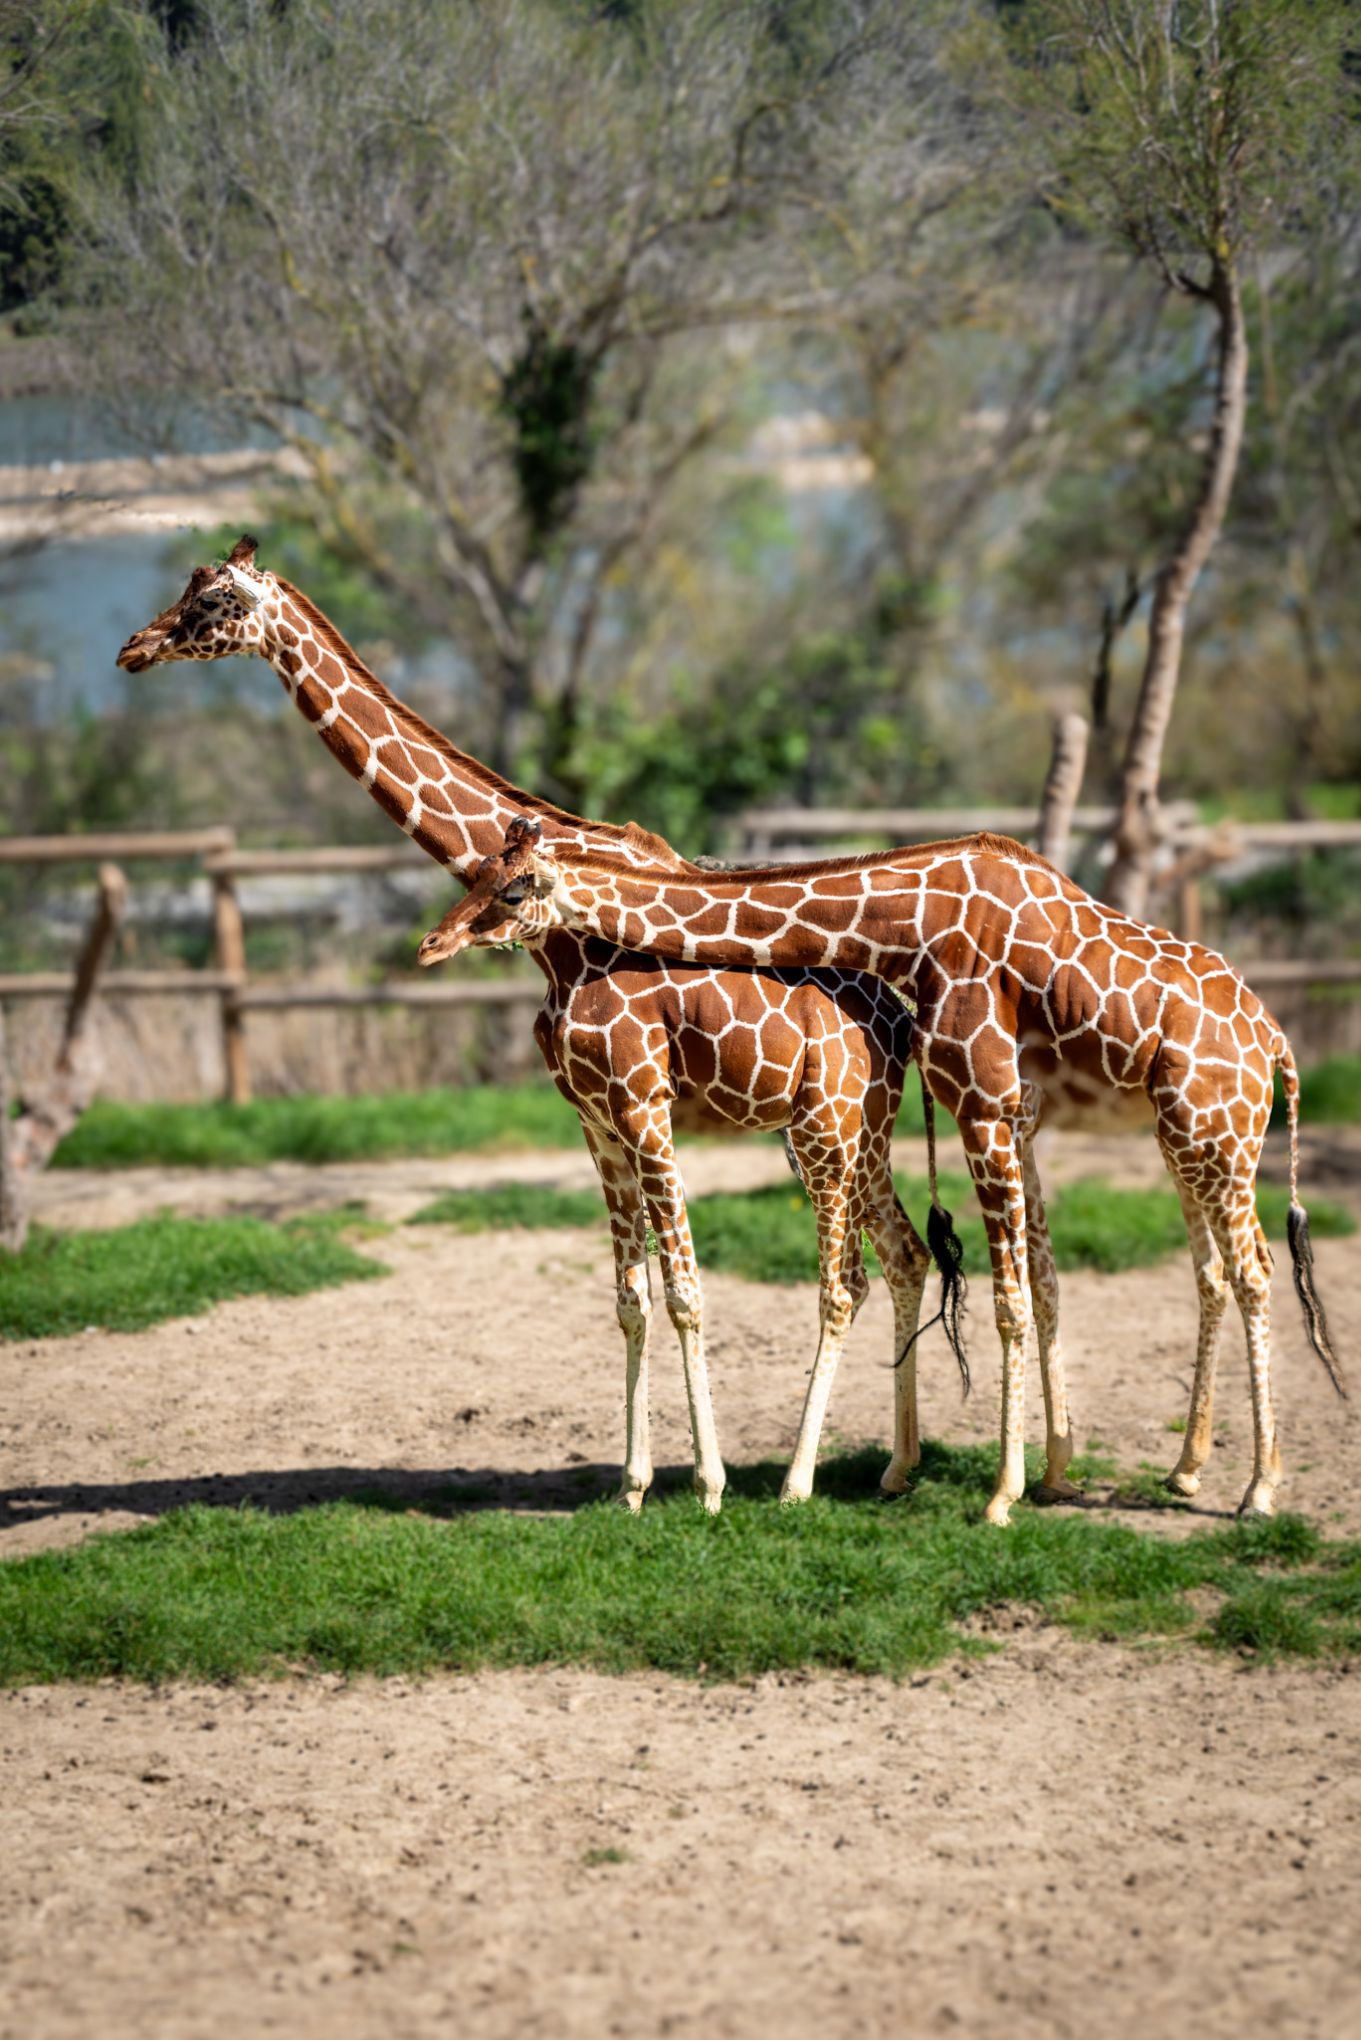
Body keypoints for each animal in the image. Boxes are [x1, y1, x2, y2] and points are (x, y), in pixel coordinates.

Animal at [116, 536, 963, 1511]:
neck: (553, 944)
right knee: (902, 1254)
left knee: (844, 1277)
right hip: (849, 1129)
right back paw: (896, 1467)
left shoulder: (644, 1103)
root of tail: (894, 1015)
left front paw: (708, 1485)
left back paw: (793, 1480)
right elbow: (630, 1296)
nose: (133, 648)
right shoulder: (595, 1119)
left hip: (825, 1124)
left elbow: (686, 1290)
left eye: (212, 599)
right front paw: (632, 1485)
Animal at [421, 817, 1348, 1526]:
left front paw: (1002, 1497)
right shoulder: (1005, 1110)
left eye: (515, 889)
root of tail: (1277, 1044)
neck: (903, 927)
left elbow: (1007, 1300)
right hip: (1185, 1139)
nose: (432, 943)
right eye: (477, 871)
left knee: (1255, 1270)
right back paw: (1186, 1472)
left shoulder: (984, 1103)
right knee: (1214, 1272)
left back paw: (1257, 1491)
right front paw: (1038, 1476)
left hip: (1212, 1133)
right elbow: (1034, 1285)